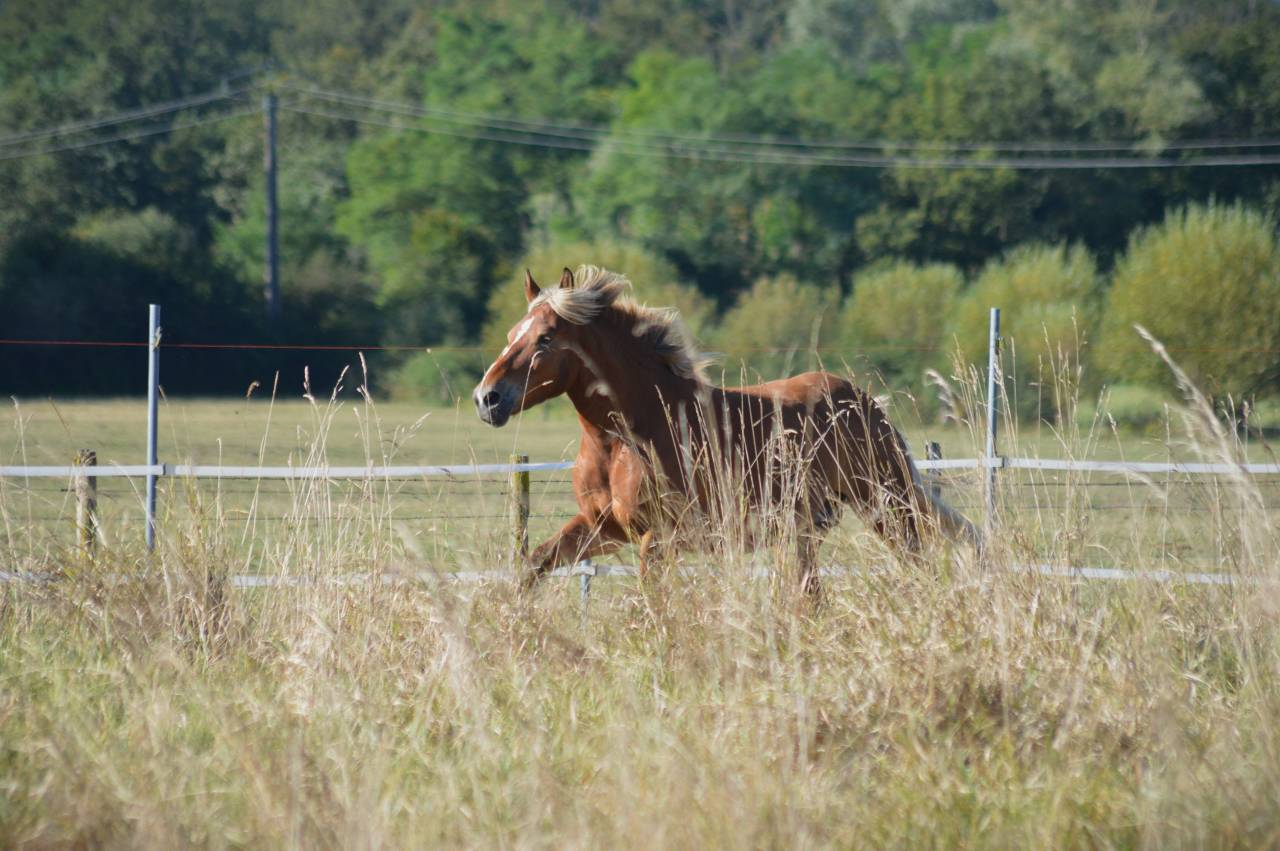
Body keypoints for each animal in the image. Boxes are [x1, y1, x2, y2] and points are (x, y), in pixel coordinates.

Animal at [473, 265, 978, 593]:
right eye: (511, 334)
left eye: (545, 339)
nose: (487, 399)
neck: (624, 440)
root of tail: (866, 403)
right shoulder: (605, 528)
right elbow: (534, 563)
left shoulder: (662, 538)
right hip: (809, 529)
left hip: (886, 507)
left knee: (916, 565)